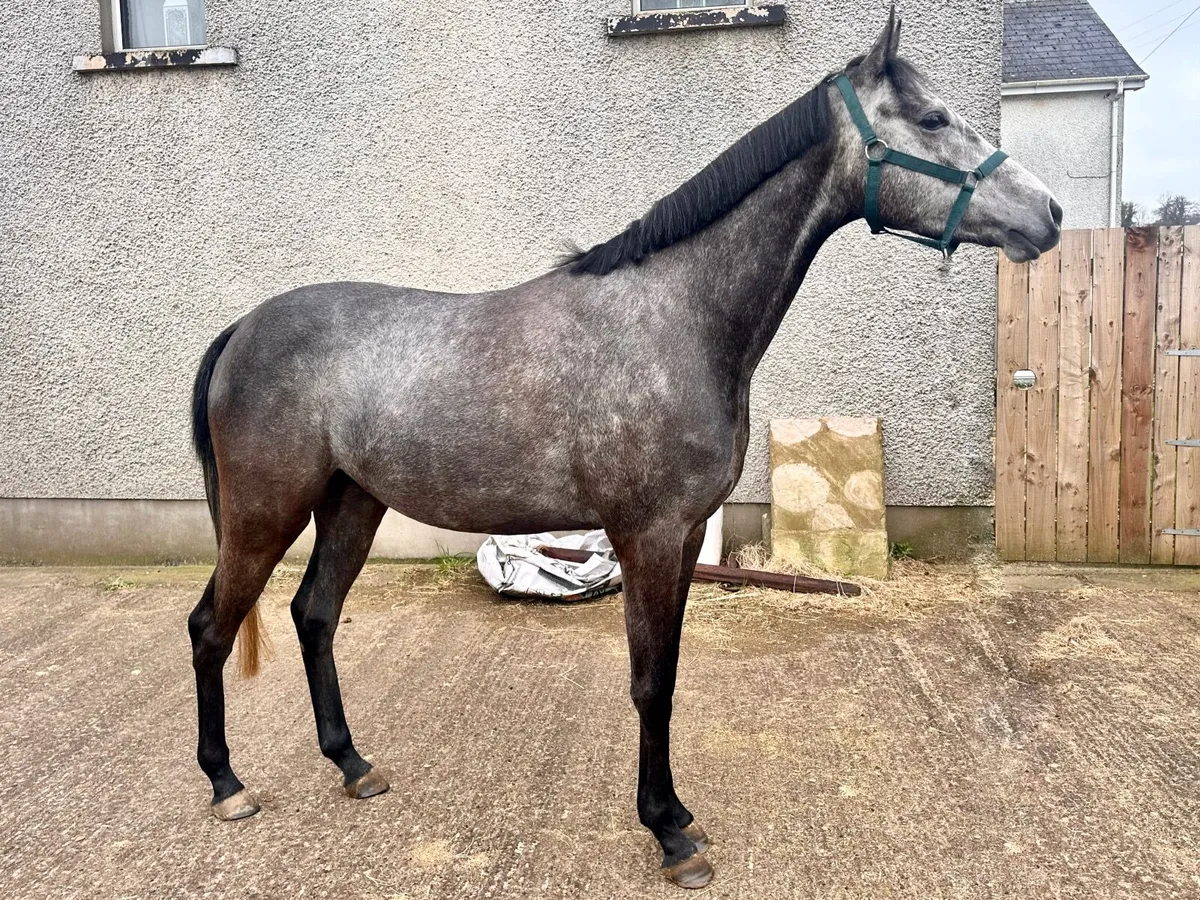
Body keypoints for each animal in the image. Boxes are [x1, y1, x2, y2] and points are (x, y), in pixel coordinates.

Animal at [187, 11, 1061, 889]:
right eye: (932, 119)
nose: (1049, 212)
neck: (679, 317)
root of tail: (242, 329)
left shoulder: (682, 539)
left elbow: (668, 674)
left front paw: (678, 813)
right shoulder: (646, 534)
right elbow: (649, 684)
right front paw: (669, 836)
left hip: (353, 501)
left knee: (314, 614)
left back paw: (353, 765)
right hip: (267, 511)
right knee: (211, 629)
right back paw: (227, 784)